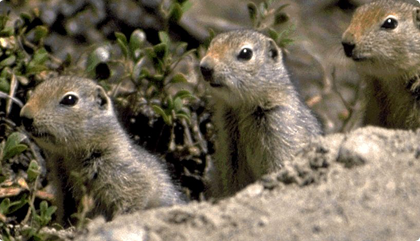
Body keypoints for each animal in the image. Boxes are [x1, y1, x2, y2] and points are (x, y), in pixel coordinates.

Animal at [19, 76, 183, 225]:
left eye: (70, 99)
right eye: (35, 91)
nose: (24, 116)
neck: (70, 155)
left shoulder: (128, 180)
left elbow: (131, 203)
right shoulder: (63, 186)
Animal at [199, 30, 322, 197]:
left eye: (246, 53)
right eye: (211, 43)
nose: (204, 67)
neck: (242, 107)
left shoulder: (281, 125)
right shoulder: (229, 144)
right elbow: (233, 178)